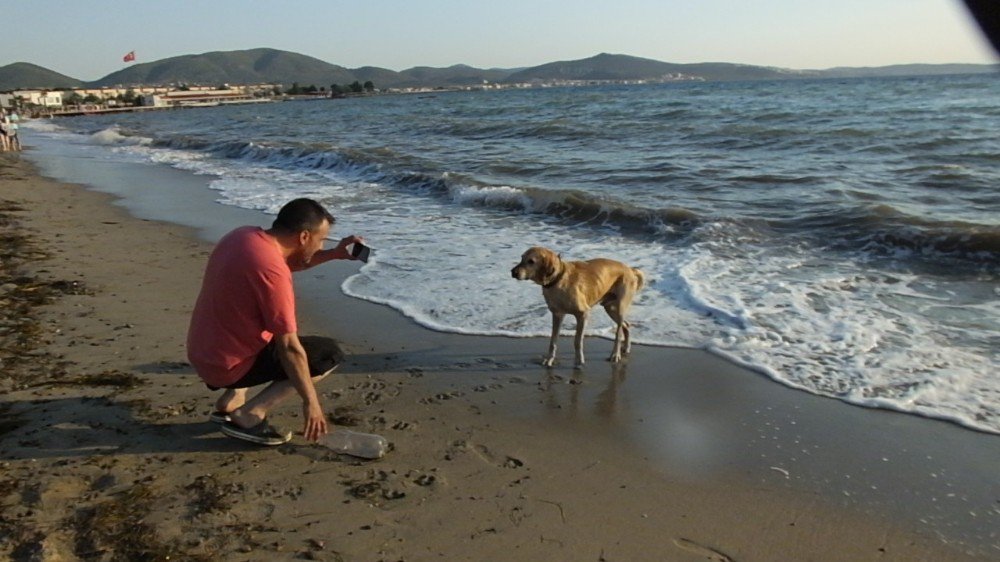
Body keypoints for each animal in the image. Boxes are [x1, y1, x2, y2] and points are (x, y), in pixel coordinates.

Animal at [512, 247, 644, 366]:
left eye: (531, 261)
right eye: (521, 258)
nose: (512, 272)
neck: (558, 279)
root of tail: (630, 269)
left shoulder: (583, 314)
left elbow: (577, 340)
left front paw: (579, 360)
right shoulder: (557, 315)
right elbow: (553, 341)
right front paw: (550, 359)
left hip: (619, 307)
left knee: (619, 331)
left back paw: (615, 354)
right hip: (610, 308)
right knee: (626, 325)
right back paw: (626, 347)